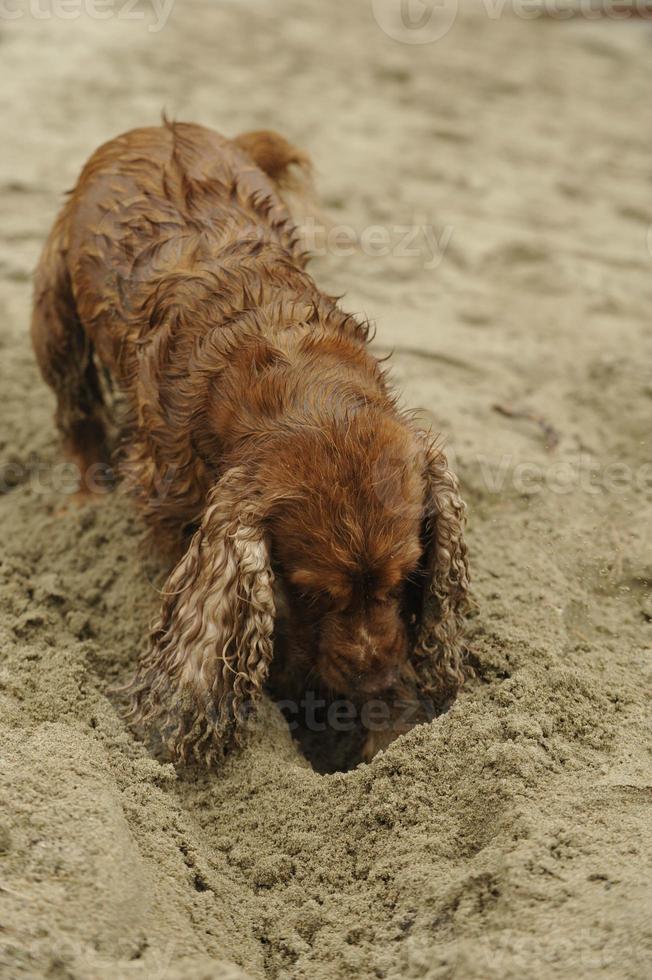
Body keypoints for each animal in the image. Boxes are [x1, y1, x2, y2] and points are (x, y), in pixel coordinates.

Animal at [30, 122, 472, 764]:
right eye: (311, 594)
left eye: (407, 577)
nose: (373, 678)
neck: (291, 370)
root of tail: (160, 126)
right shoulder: (175, 509)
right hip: (55, 318)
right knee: (77, 415)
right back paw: (84, 501)